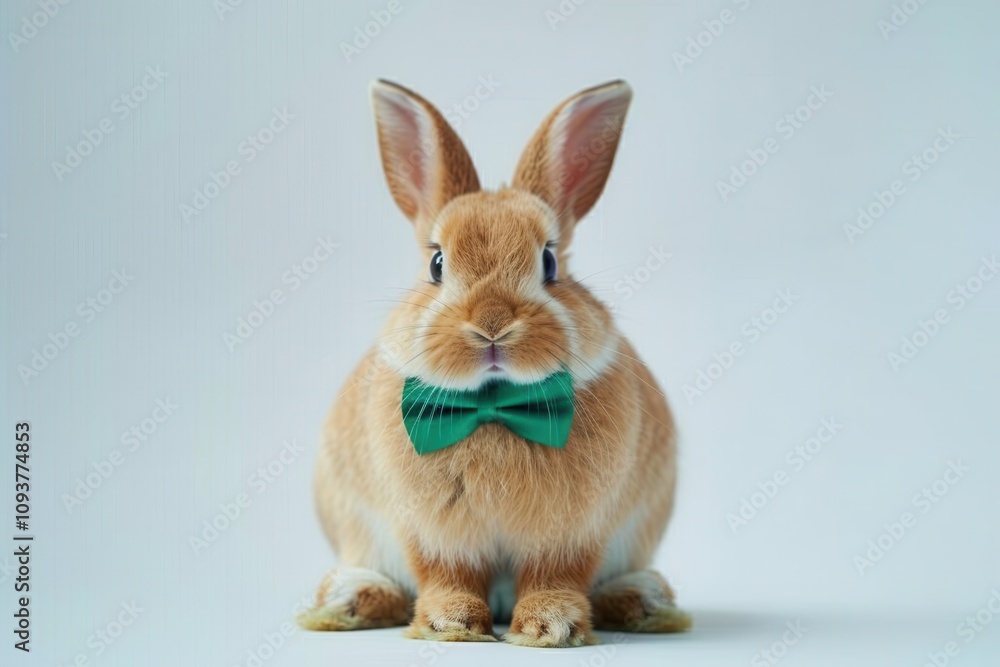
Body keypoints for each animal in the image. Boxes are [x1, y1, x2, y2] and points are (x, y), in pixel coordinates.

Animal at [299, 79, 690, 648]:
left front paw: (550, 628)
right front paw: (451, 627)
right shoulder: (433, 533)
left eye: (549, 262)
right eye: (437, 263)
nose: (492, 323)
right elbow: (447, 574)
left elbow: (556, 576)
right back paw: (350, 599)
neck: (495, 405)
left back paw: (642, 600)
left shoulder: (571, 534)